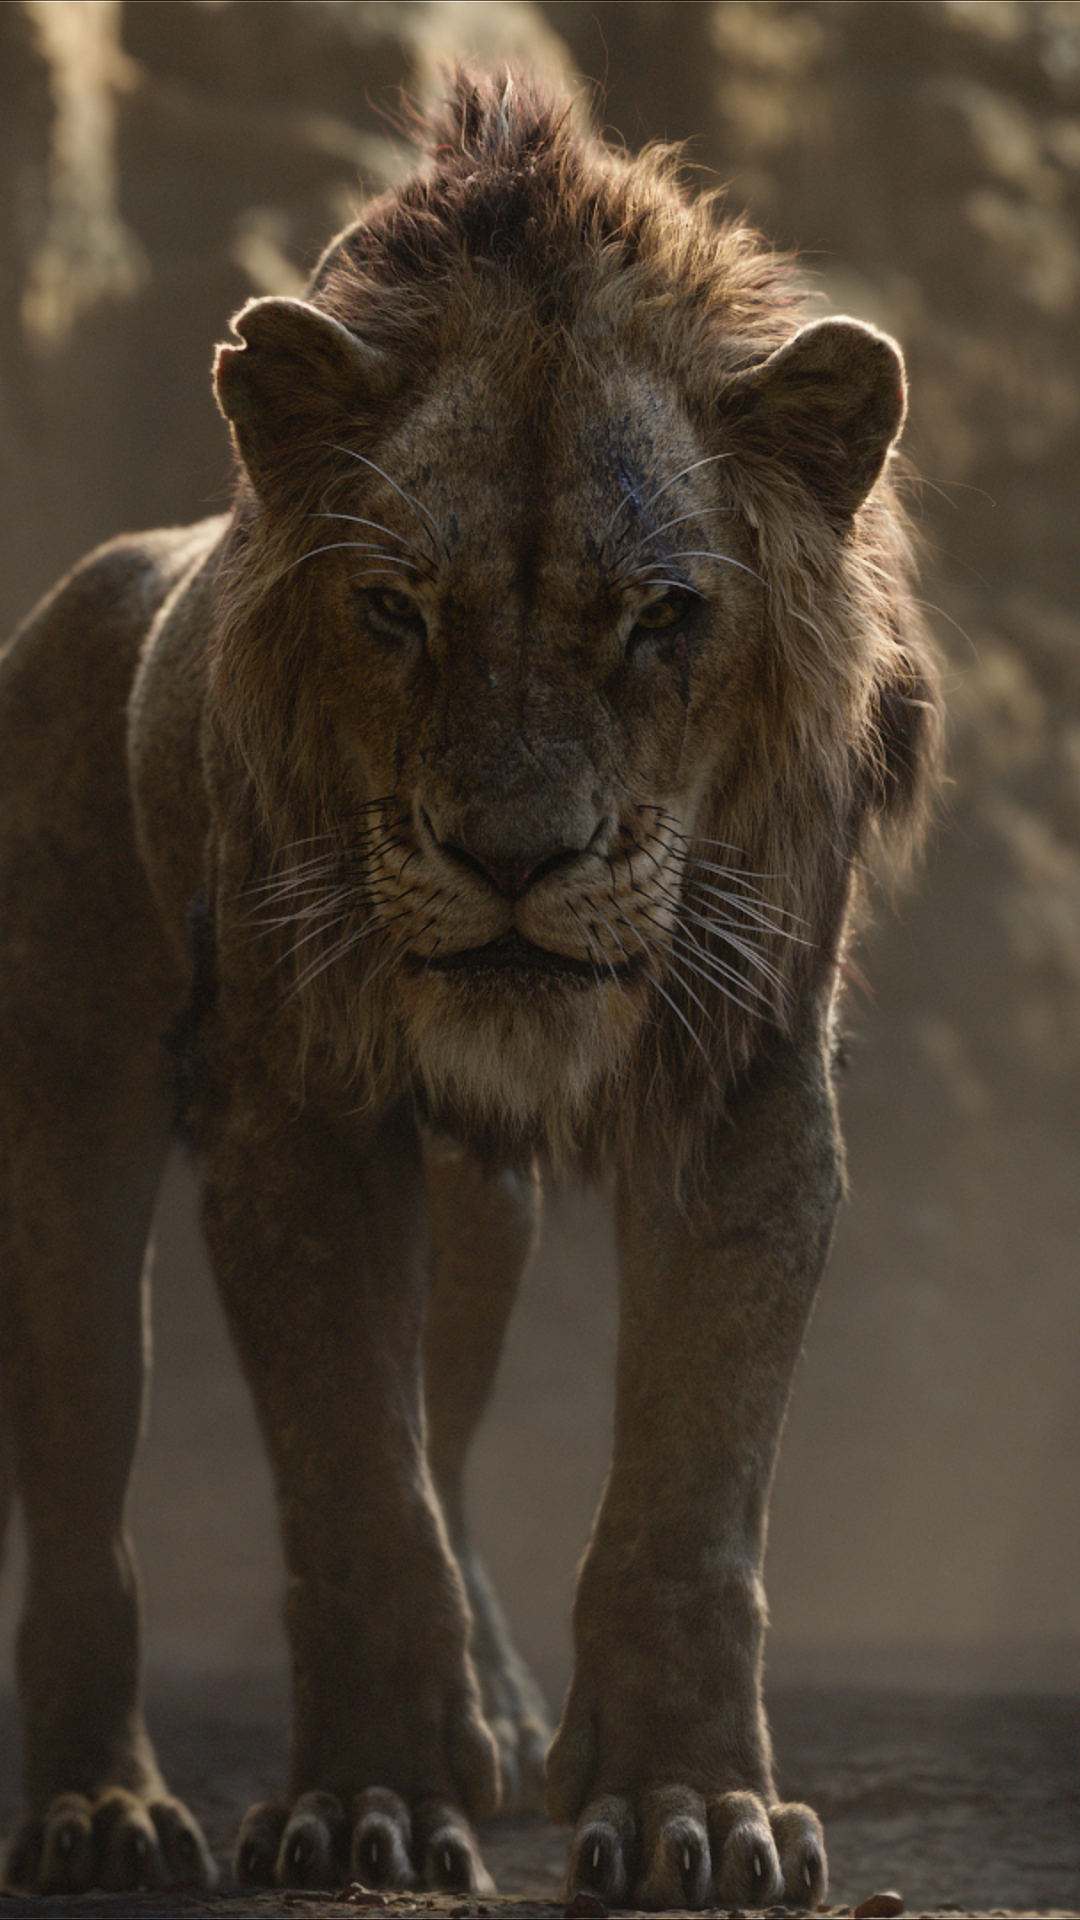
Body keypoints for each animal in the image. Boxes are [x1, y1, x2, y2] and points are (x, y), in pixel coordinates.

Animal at [0, 69, 939, 1905]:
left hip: (479, 1213)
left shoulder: (749, 1090)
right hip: (64, 1127)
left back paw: (493, 1711)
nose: (516, 857)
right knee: (86, 1485)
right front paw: (363, 1804)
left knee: (444, 1410)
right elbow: (354, 1493)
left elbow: (685, 1499)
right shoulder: (296, 1111)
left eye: (664, 618)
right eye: (394, 611)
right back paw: (100, 1810)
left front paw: (688, 1808)